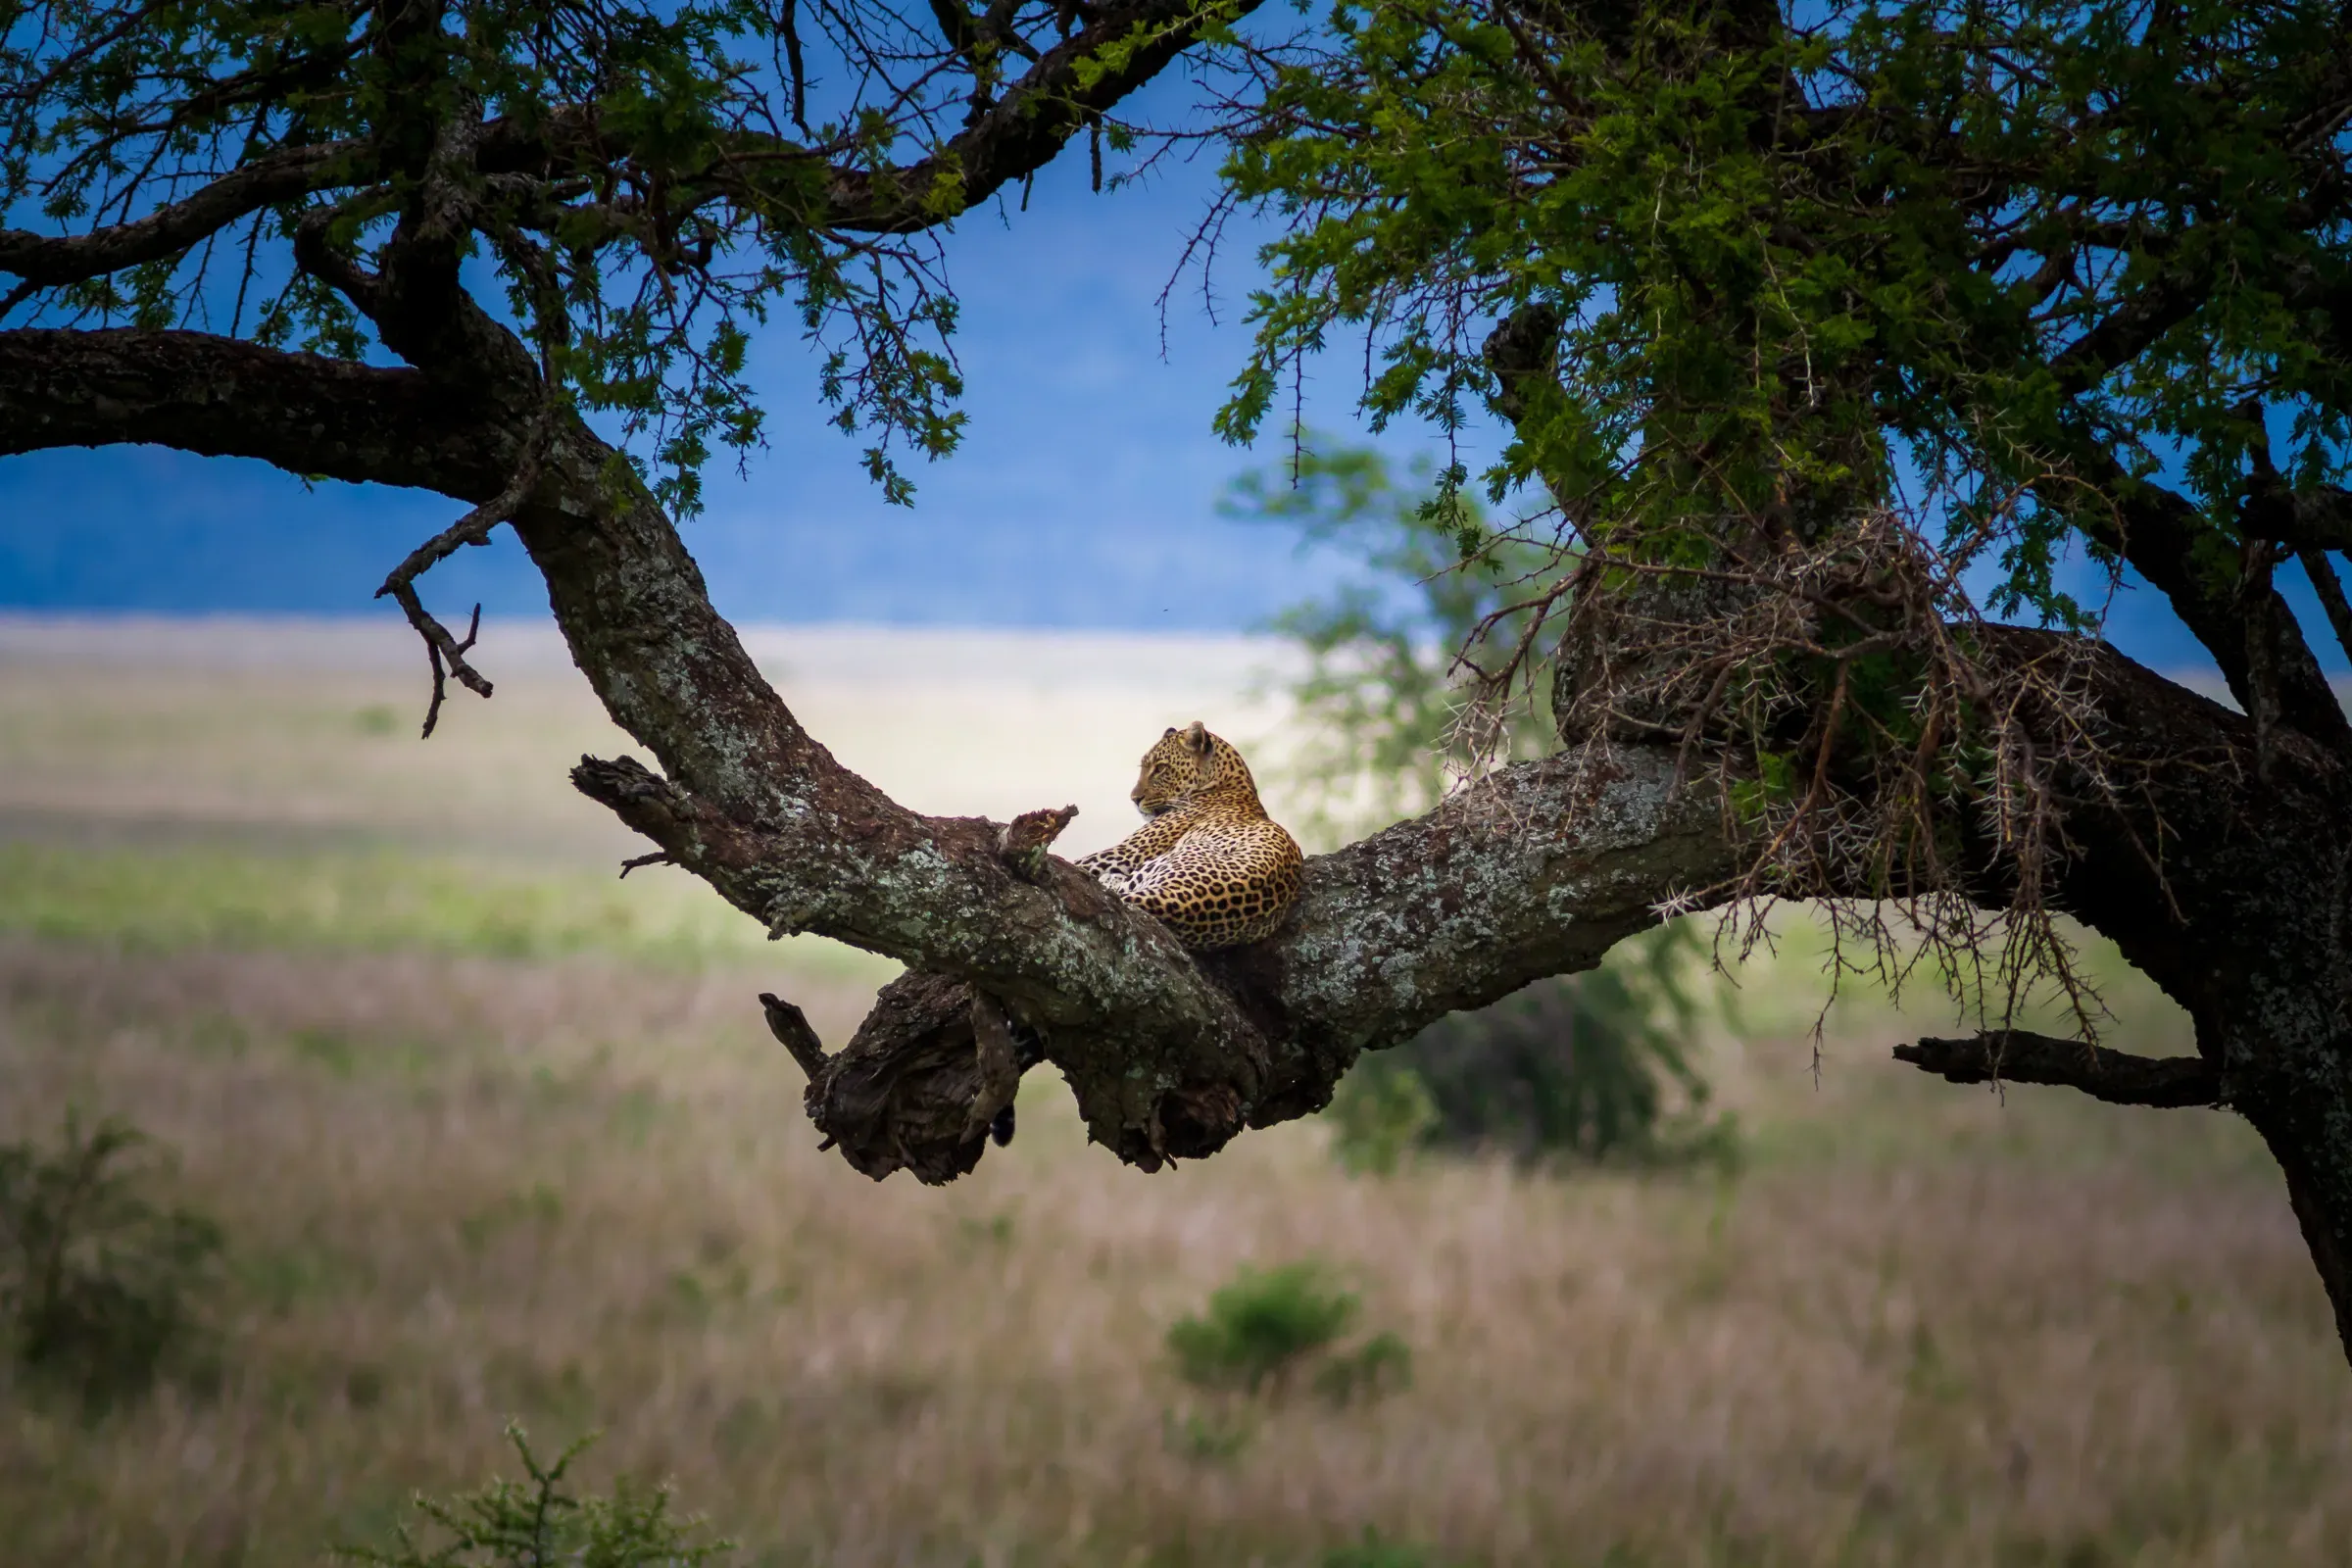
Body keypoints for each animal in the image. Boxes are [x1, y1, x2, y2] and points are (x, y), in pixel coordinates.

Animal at [1076, 721, 1304, 950]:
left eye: (1160, 768)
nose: (1134, 798)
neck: (1225, 784)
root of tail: (1175, 900)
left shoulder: (1125, 852)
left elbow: (1079, 862)